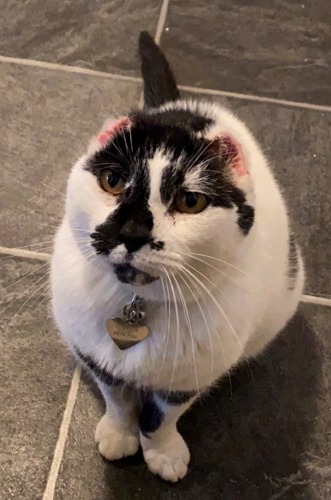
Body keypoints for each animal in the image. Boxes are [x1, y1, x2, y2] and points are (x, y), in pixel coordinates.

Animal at [50, 30, 304, 480]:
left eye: (190, 201)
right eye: (112, 181)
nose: (133, 232)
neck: (139, 307)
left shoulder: (188, 376)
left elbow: (162, 416)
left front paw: (163, 453)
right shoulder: (95, 354)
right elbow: (118, 399)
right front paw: (119, 434)